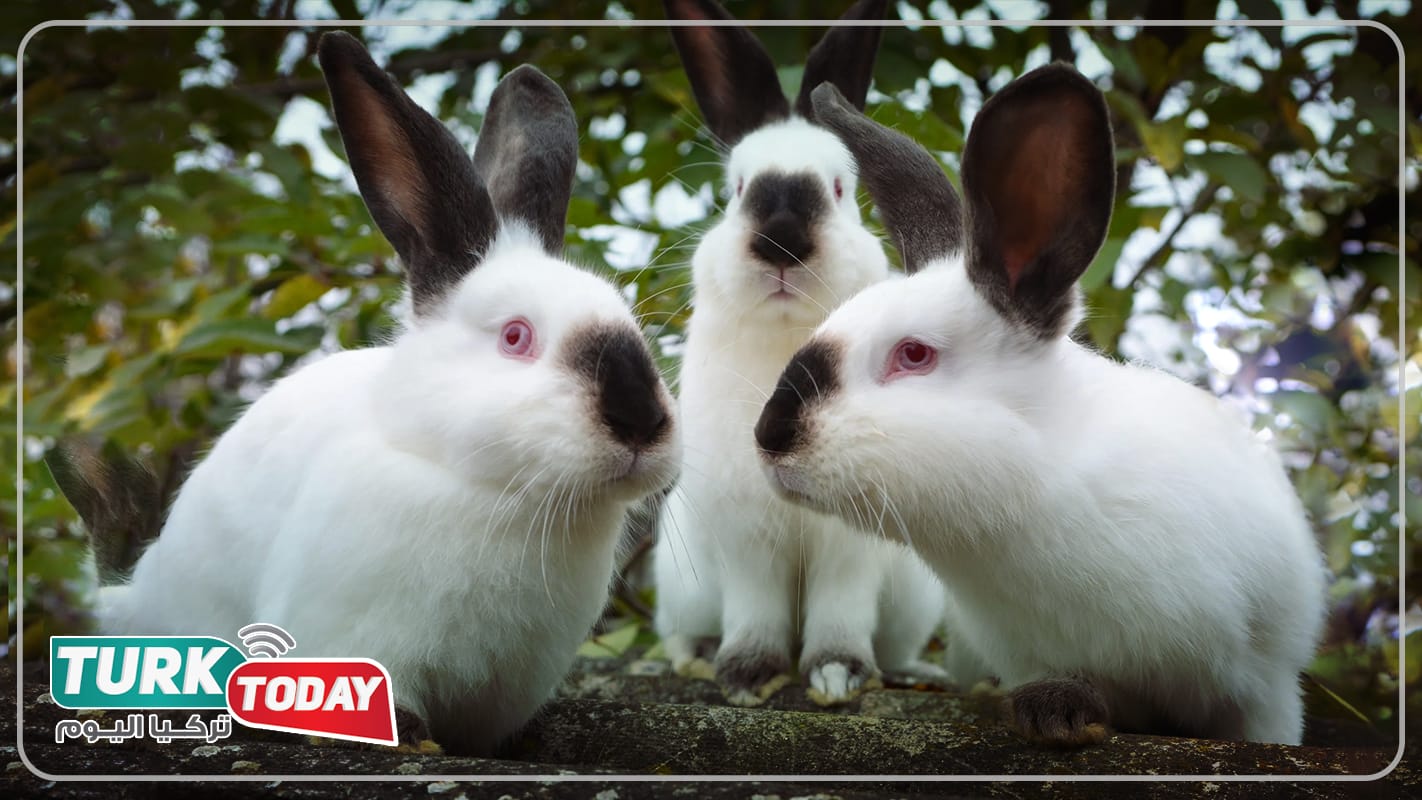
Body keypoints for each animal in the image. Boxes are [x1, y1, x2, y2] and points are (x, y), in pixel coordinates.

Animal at [652, 0, 947, 708]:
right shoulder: (745, 535)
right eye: (736, 190)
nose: (782, 238)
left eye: (839, 188)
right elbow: (754, 607)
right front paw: (746, 676)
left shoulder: (852, 540)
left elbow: (840, 608)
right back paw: (692, 655)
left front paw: (836, 676)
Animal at [752, 66, 1328, 746]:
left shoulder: (1266, 686)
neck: (1041, 486)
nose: (768, 435)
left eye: (914, 355)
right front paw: (1054, 712)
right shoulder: (1038, 652)